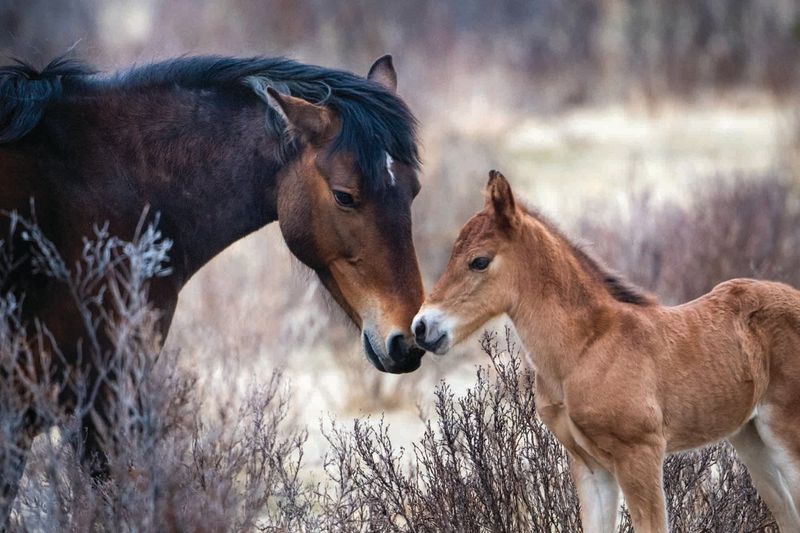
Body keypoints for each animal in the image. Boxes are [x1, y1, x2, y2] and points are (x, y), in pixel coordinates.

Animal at [412, 171, 800, 532]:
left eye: (479, 261)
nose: (422, 327)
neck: (584, 349)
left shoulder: (639, 456)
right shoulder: (590, 467)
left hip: (786, 434)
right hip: (750, 440)